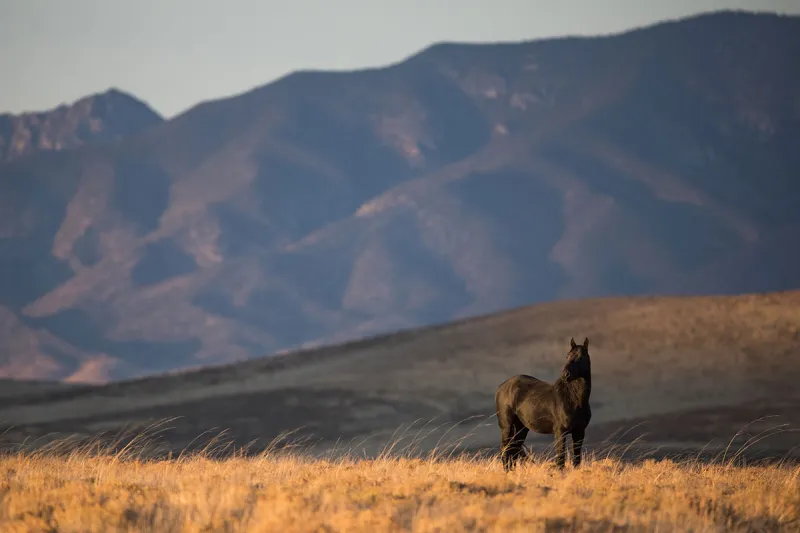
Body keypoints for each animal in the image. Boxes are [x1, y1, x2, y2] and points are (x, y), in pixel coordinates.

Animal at [495, 337, 592, 471]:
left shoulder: (579, 431)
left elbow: (577, 459)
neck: (574, 400)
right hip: (507, 427)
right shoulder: (560, 432)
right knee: (506, 451)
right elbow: (560, 459)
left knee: (513, 451)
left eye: (581, 357)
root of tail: (501, 387)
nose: (565, 375)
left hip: (520, 428)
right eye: (567, 356)